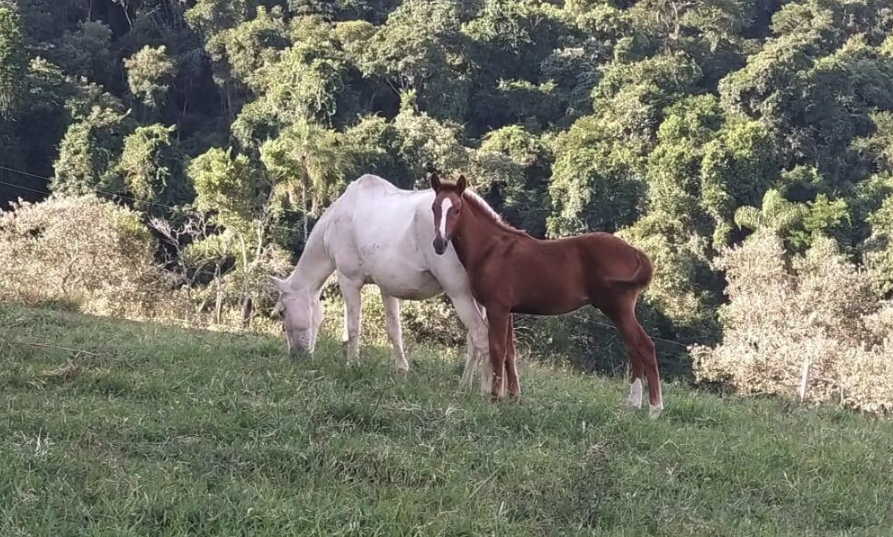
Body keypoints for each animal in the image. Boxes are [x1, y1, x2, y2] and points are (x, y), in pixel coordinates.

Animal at [272, 176, 492, 390]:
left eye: (282, 312)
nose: (296, 355)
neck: (336, 220)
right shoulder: (387, 287)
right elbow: (394, 329)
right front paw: (402, 369)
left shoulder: (349, 280)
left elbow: (353, 327)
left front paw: (352, 364)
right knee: (474, 338)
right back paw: (465, 384)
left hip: (459, 292)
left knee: (481, 333)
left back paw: (486, 390)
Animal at [428, 174, 664, 416]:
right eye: (434, 207)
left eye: (457, 209)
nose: (439, 243)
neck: (491, 249)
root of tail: (634, 252)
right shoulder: (508, 310)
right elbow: (510, 351)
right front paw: (514, 396)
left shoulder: (497, 308)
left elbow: (498, 349)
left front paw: (495, 396)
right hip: (619, 311)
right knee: (633, 348)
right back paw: (633, 403)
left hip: (617, 308)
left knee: (645, 346)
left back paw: (654, 409)